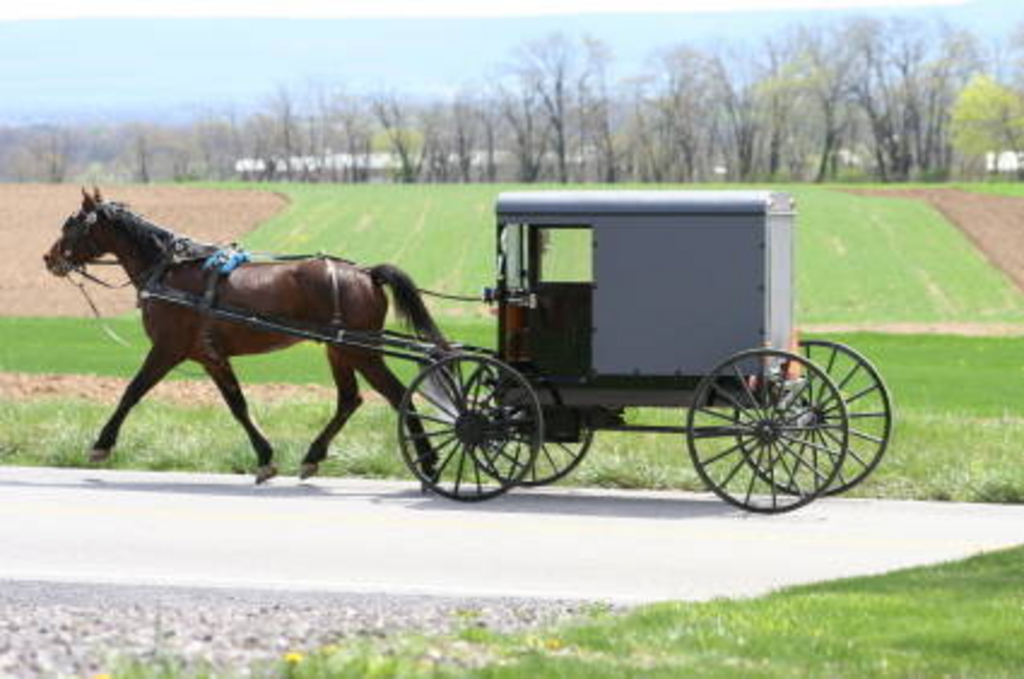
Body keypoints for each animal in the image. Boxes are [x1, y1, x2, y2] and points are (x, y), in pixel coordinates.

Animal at [44, 187, 444, 483]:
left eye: (71, 224)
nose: (49, 258)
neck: (168, 271)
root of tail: (367, 273)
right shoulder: (210, 356)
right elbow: (238, 405)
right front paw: (265, 457)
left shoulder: (168, 348)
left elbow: (132, 391)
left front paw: (101, 444)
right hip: (340, 350)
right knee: (349, 400)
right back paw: (314, 456)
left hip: (361, 351)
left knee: (398, 396)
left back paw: (428, 461)